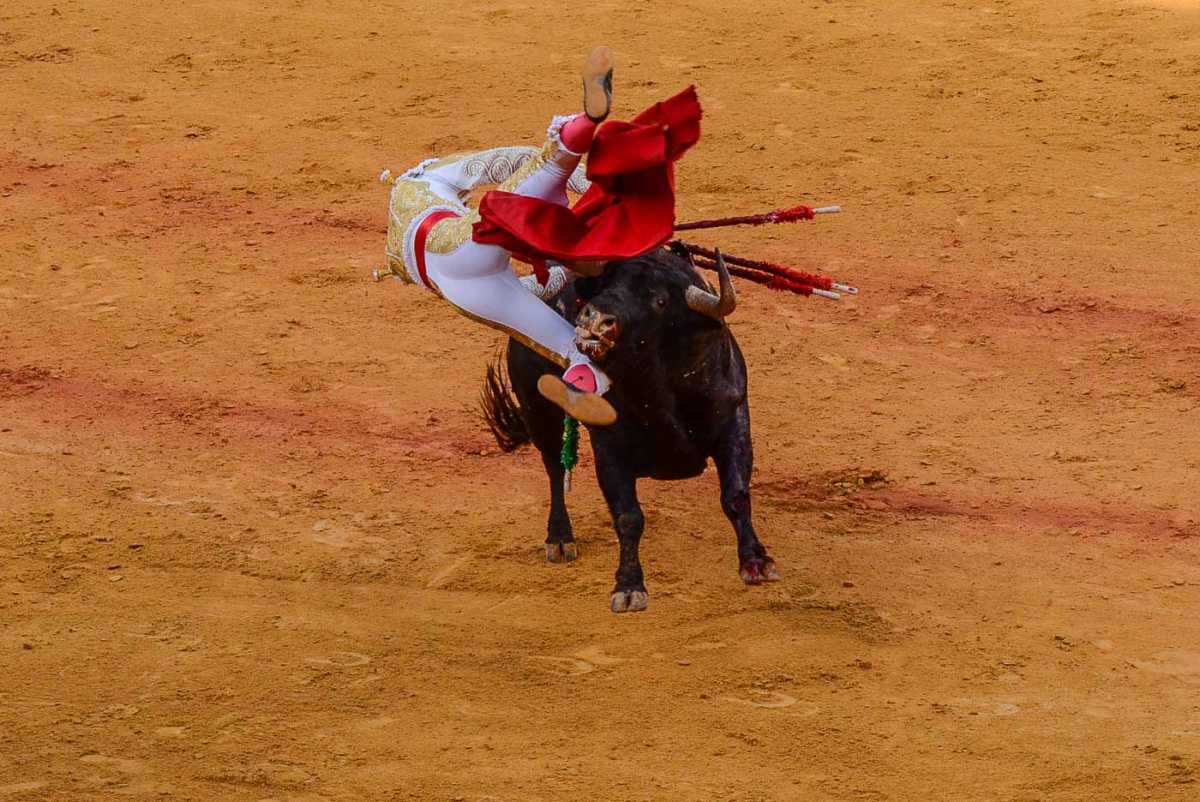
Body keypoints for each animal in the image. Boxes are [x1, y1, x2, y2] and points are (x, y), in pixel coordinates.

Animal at [477, 247, 777, 609]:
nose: (594, 319)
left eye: (660, 300)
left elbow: (736, 496)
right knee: (554, 469)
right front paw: (630, 586)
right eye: (607, 284)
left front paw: (755, 561)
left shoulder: (733, 422)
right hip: (539, 410)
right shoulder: (610, 448)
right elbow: (628, 517)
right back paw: (560, 538)